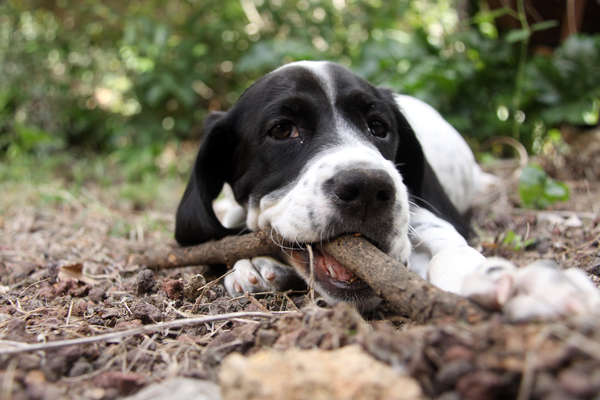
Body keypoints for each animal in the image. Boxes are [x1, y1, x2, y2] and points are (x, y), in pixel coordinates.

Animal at [175, 61, 600, 320]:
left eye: (379, 127)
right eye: (282, 130)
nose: (367, 188)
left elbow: (452, 252)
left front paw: (523, 286)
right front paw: (254, 264)